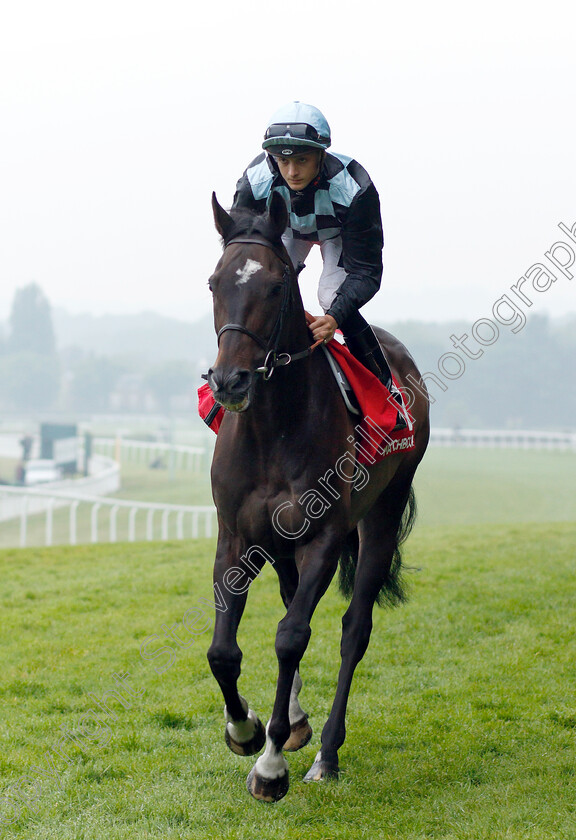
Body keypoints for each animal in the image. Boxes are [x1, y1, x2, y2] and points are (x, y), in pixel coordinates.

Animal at [205, 190, 430, 800]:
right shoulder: (236, 537)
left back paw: (326, 752)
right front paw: (244, 727)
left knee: (355, 630)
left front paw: (270, 762)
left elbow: (291, 637)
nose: (230, 381)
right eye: (214, 282)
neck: (273, 427)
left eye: (275, 286)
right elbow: (223, 651)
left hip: (383, 513)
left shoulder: (324, 539)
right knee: (290, 602)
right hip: (278, 545)